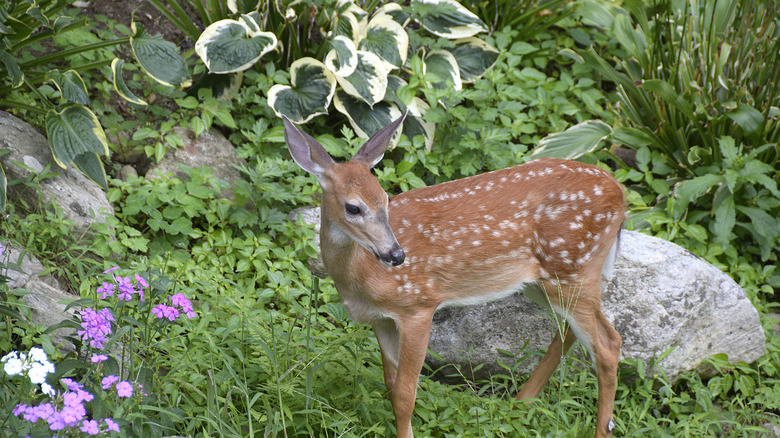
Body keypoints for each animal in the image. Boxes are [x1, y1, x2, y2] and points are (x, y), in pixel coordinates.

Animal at [283, 111, 625, 438]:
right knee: (573, 332)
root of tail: (619, 194)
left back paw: (598, 428)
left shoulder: (418, 305)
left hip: (572, 267)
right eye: (353, 208)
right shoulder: (381, 319)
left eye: (385, 199)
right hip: (543, 280)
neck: (362, 277)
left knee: (608, 344)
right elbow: (391, 385)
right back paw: (519, 402)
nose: (396, 255)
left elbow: (405, 394)